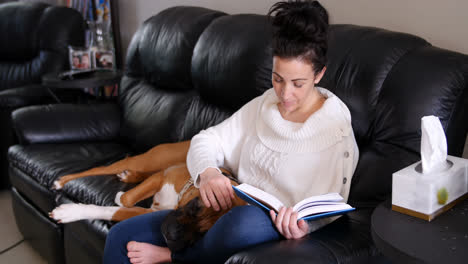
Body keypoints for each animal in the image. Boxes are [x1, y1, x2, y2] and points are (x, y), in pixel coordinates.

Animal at [48, 140, 245, 250]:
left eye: (203, 234)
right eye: (196, 206)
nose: (172, 235)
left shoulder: (145, 212)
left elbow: (113, 210)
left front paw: (70, 212)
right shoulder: (161, 177)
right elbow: (126, 199)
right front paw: (119, 197)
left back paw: (130, 176)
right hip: (146, 161)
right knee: (99, 169)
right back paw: (62, 181)